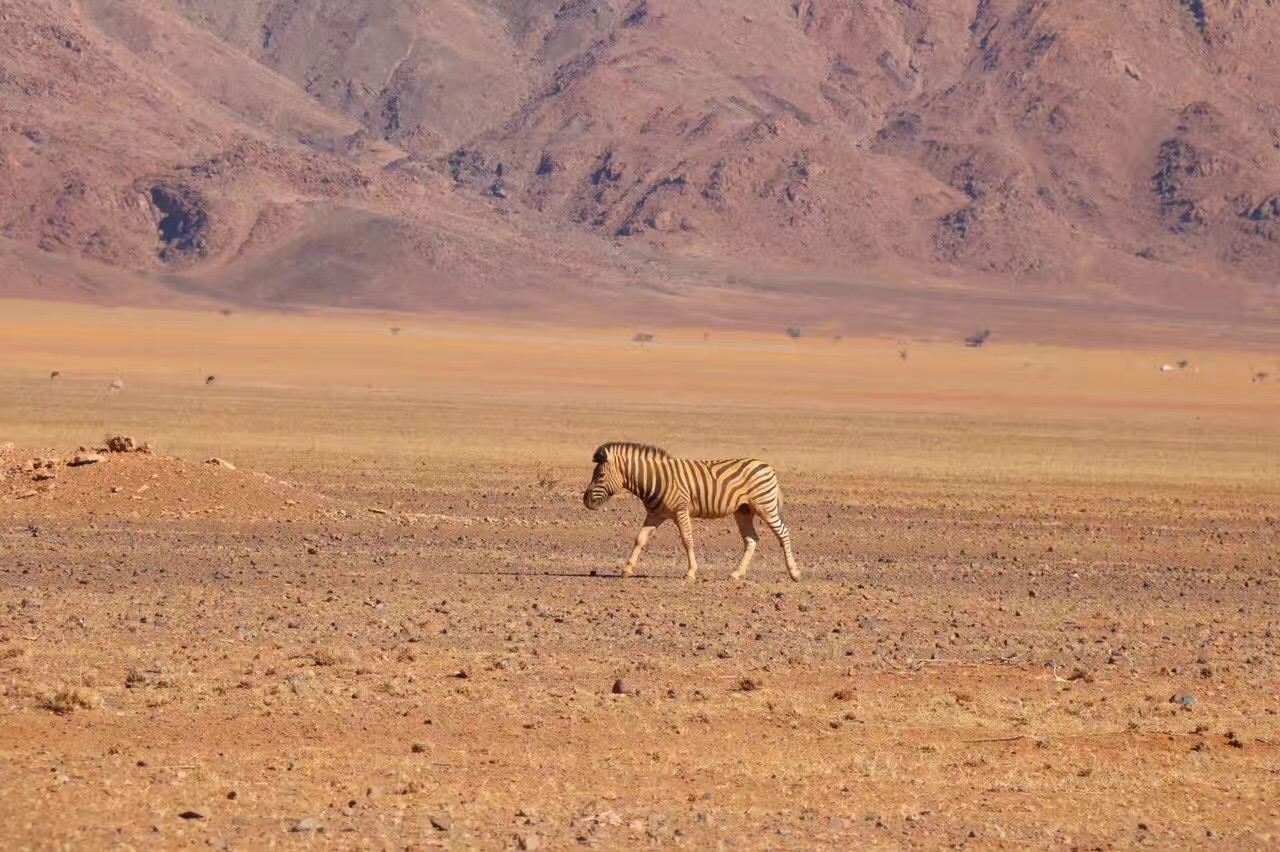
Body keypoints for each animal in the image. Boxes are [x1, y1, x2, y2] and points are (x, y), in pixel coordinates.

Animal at [583, 440, 798, 580]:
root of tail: (767, 466)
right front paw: (627, 569)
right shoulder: (655, 514)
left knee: (783, 533)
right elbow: (640, 539)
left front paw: (691, 572)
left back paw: (794, 573)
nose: (585, 501)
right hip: (743, 510)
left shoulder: (680, 510)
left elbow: (687, 540)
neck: (654, 479)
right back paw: (736, 574)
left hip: (766, 506)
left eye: (600, 476)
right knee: (752, 539)